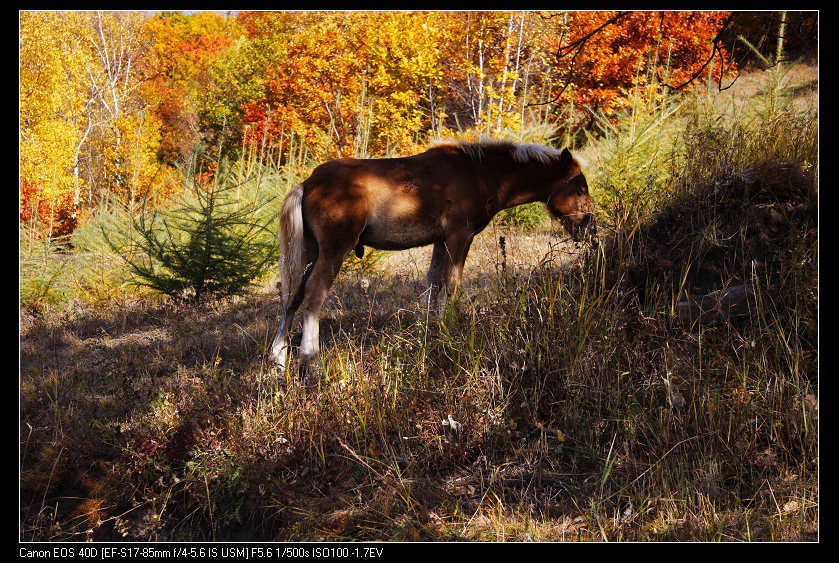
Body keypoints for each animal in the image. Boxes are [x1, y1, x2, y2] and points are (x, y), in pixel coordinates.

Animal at [272, 140, 592, 374]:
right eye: (579, 186)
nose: (589, 226)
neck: (480, 172)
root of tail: (308, 183)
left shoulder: (441, 240)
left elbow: (433, 283)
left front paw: (430, 333)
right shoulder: (460, 235)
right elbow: (450, 284)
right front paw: (448, 331)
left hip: (309, 252)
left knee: (292, 297)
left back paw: (278, 358)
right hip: (333, 250)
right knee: (313, 296)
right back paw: (310, 361)